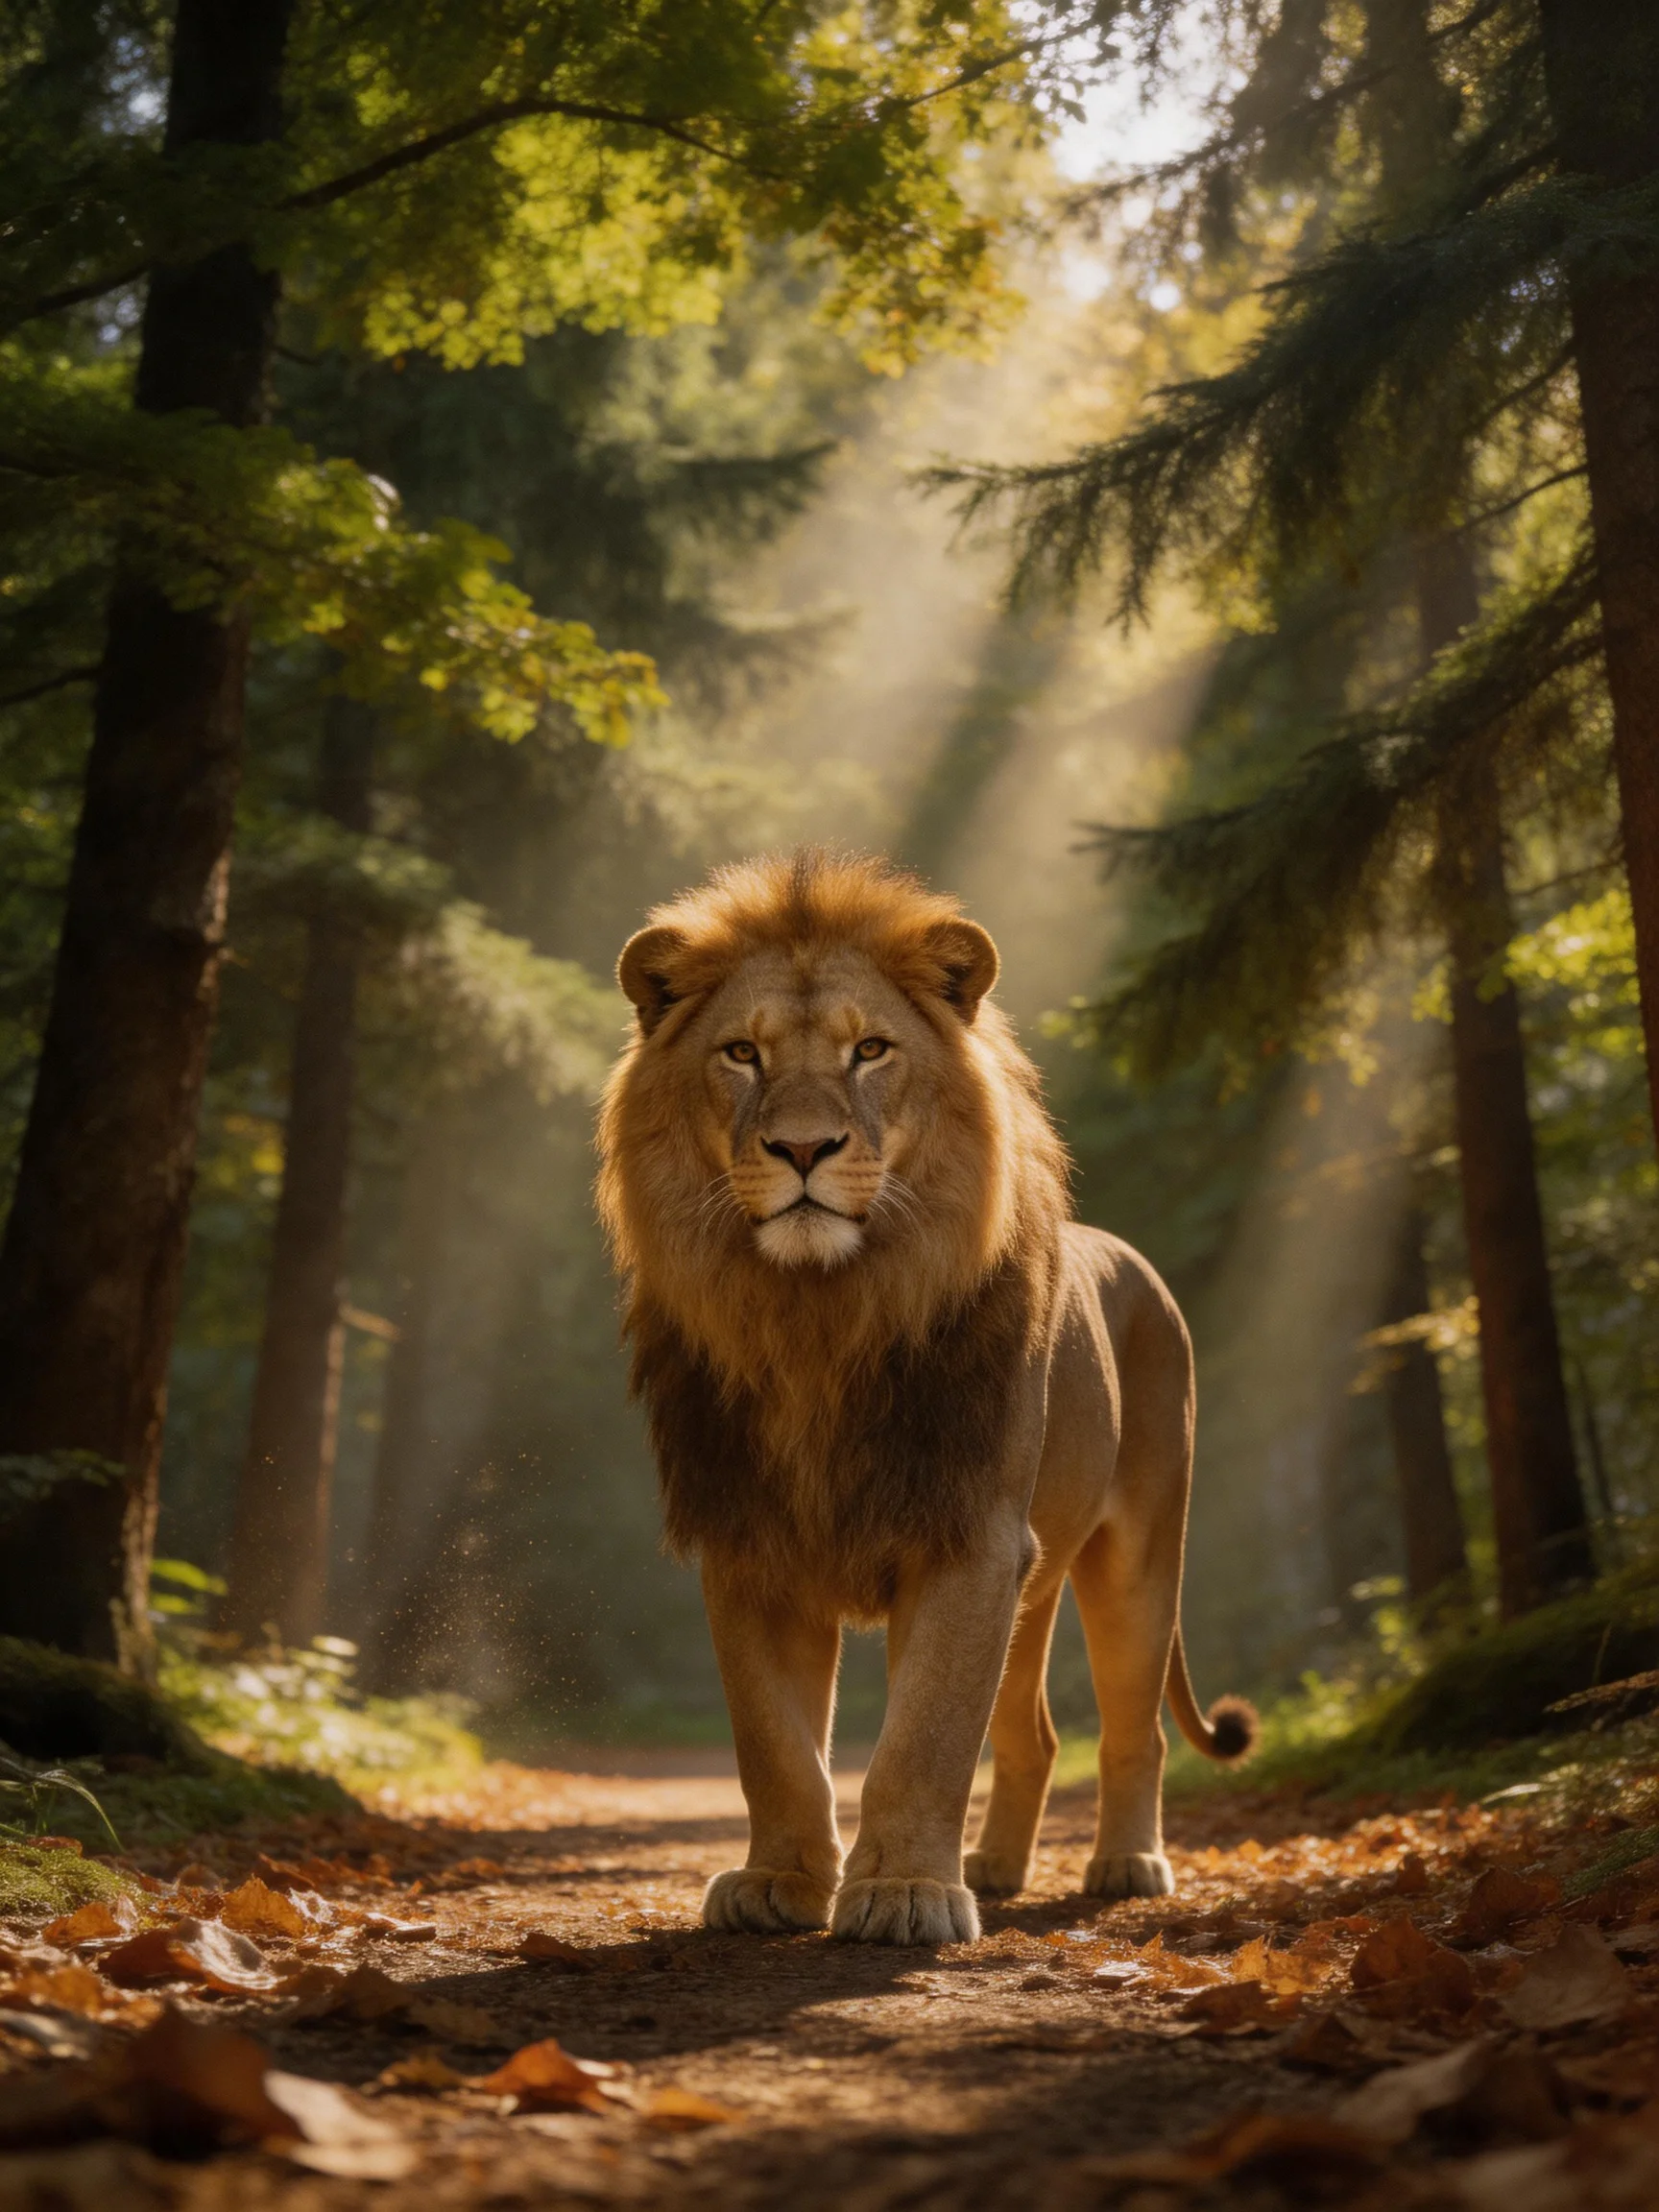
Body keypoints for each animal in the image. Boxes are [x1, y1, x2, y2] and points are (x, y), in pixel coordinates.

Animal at [597, 850, 1254, 1946]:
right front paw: (777, 1881)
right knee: (1033, 1732)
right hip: (1036, 1582)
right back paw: (995, 1865)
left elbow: (926, 1737)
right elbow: (773, 1744)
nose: (803, 1150)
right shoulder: (746, 1540)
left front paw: (905, 1892)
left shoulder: (970, 1535)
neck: (819, 1317)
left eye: (870, 1050)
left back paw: (1125, 1864)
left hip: (1138, 1552)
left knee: (1136, 1727)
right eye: (742, 1054)